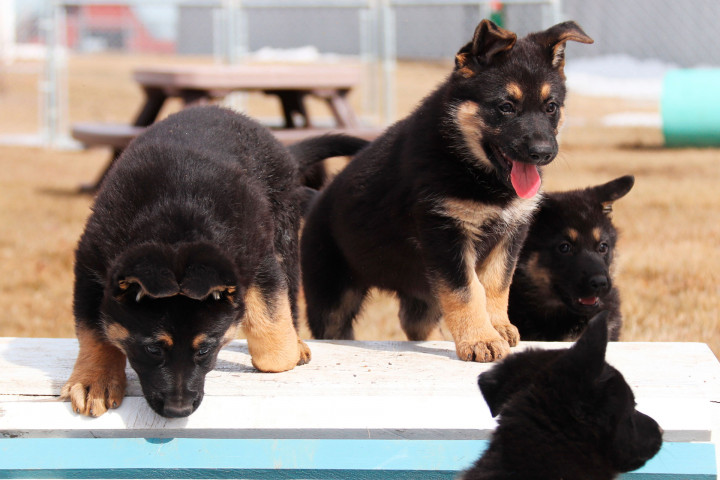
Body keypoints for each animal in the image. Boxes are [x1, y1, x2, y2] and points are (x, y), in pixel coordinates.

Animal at [300, 19, 592, 364]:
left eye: (551, 107)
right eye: (506, 107)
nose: (543, 153)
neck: (472, 167)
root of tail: (316, 199)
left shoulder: (510, 233)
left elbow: (496, 284)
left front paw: (497, 326)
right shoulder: (446, 235)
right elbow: (467, 290)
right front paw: (481, 339)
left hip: (422, 296)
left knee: (414, 323)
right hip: (332, 298)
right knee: (336, 327)